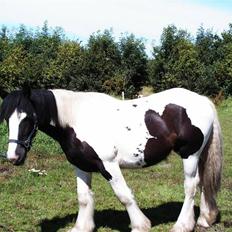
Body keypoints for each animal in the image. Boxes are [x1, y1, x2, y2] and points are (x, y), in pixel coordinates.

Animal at [0, 87, 223, 232]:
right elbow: (83, 197)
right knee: (203, 182)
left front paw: (140, 225)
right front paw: (82, 227)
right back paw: (205, 219)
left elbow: (124, 195)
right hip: (199, 155)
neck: (76, 118)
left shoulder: (108, 164)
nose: (13, 156)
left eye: (28, 118)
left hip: (189, 154)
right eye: (6, 118)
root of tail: (203, 100)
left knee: (191, 186)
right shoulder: (81, 165)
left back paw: (182, 225)